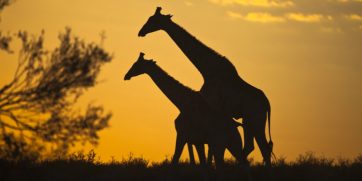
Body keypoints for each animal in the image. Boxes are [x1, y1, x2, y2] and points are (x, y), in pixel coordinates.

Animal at [137, 7, 272, 165]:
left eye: (153, 20)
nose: (141, 32)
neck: (207, 70)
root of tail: (267, 104)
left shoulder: (212, 106)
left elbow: (207, 144)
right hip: (249, 120)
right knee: (254, 146)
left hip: (256, 119)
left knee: (263, 147)